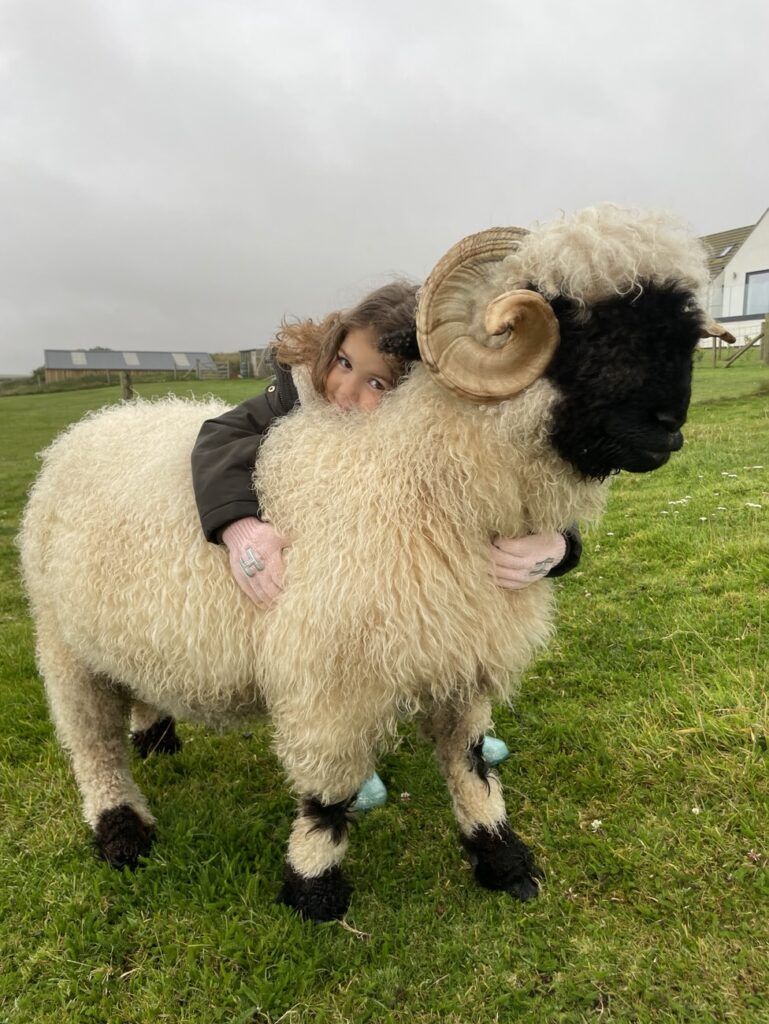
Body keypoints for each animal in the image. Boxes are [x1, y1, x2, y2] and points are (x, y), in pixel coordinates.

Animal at [19, 204, 709, 922]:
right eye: (570, 315)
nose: (668, 428)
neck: (422, 477)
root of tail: (89, 427)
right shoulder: (328, 677)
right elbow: (326, 793)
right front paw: (313, 888)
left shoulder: (460, 653)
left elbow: (470, 762)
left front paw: (501, 855)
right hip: (62, 642)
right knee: (91, 743)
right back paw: (121, 829)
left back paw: (156, 734)